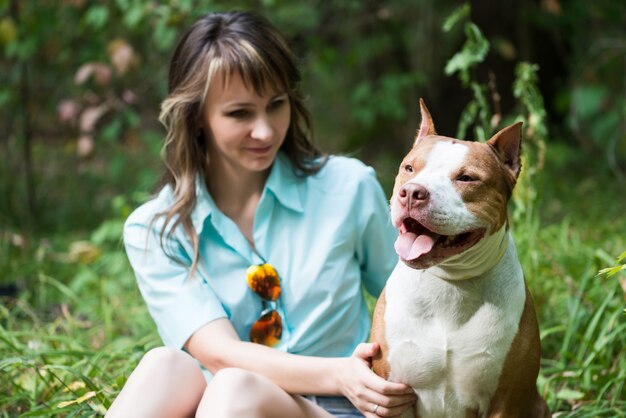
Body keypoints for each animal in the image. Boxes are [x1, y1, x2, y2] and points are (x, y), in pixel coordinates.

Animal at [370, 100, 544, 418]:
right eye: (409, 168)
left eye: (466, 178)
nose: (411, 192)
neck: (451, 282)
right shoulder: (392, 393)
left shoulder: (507, 401)